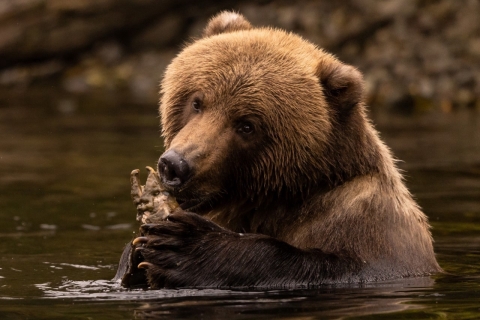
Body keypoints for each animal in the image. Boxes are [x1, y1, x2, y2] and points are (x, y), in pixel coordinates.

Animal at [119, 11, 438, 288]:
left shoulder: (370, 228)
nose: (175, 165)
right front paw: (139, 245)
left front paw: (181, 245)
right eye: (197, 102)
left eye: (247, 125)